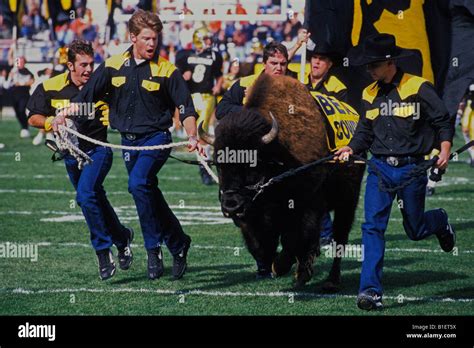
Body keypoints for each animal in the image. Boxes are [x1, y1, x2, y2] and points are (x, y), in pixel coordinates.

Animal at [200, 73, 362, 288]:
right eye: (219, 164)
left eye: (253, 163)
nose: (231, 206)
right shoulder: (253, 219)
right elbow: (260, 246)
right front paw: (274, 267)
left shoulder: (306, 205)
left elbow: (294, 239)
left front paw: (283, 268)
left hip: (347, 202)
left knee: (339, 238)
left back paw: (330, 281)